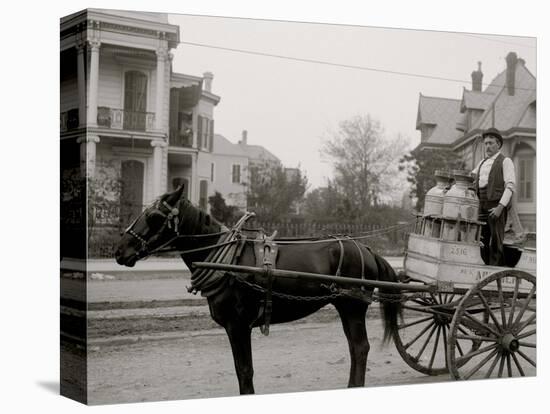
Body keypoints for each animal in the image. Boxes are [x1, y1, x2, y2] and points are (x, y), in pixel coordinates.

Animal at [115, 185, 402, 394]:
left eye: (153, 217)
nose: (120, 251)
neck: (225, 260)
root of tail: (366, 249)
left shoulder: (238, 325)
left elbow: (244, 370)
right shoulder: (236, 327)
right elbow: (241, 369)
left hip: (352, 306)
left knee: (360, 348)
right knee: (355, 348)